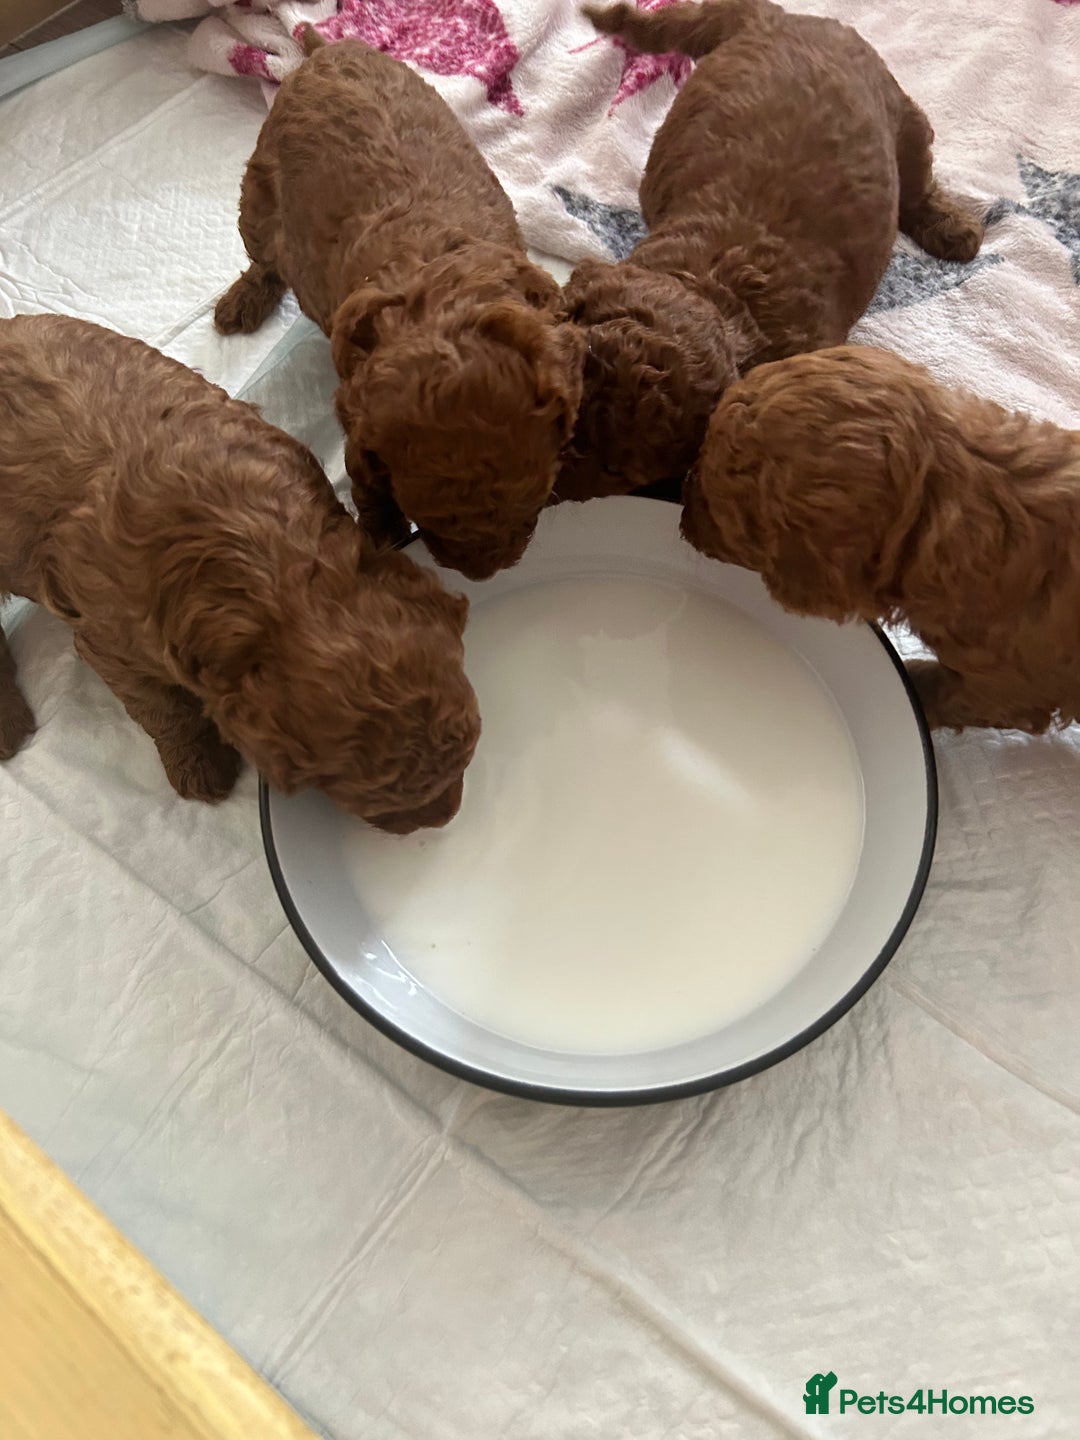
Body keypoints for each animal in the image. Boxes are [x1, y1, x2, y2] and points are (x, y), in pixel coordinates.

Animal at [0, 315, 480, 830]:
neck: (265, 564)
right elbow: (163, 707)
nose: (449, 816)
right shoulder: (111, 639)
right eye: (384, 807)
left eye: (467, 757)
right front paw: (199, 765)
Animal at [215, 29, 584, 581]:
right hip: (258, 191)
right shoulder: (358, 419)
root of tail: (323, 52)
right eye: (430, 521)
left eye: (532, 504)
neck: (439, 305)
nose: (485, 573)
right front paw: (382, 538)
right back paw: (243, 300)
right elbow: (366, 485)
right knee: (263, 255)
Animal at [557, 0, 984, 502]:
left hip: (900, 112)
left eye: (613, 469)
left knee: (917, 180)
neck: (717, 289)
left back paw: (954, 230)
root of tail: (771, 15)